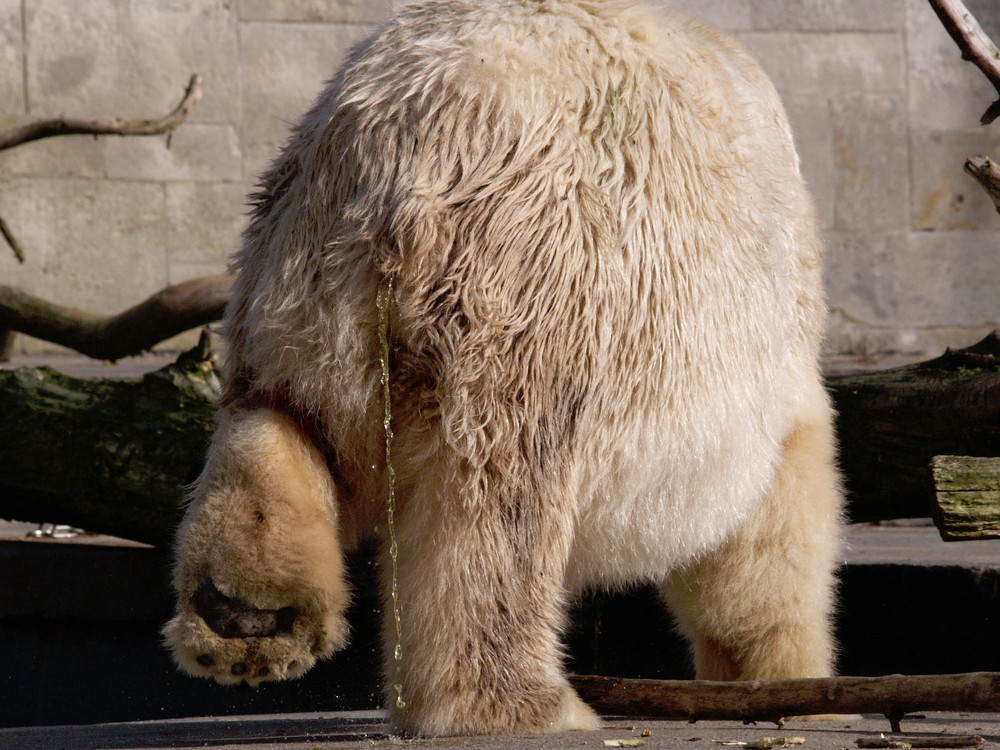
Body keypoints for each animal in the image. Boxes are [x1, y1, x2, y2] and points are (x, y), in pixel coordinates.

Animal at [162, 0, 836, 740]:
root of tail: (399, 157)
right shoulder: (766, 327)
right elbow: (769, 519)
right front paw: (783, 676)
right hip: (531, 286)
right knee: (498, 500)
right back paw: (528, 705)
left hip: (294, 283)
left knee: (279, 417)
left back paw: (247, 619)